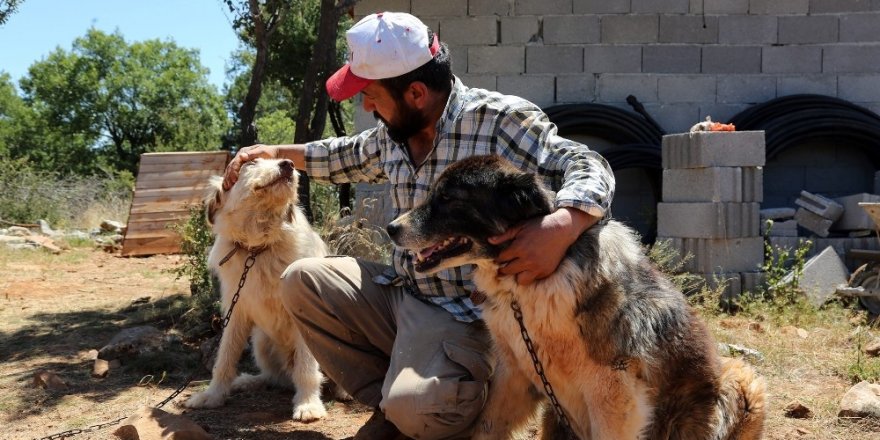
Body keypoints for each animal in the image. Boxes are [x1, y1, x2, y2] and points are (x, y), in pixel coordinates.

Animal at [186, 159, 334, 422]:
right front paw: (212, 395)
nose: (288, 163)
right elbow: (224, 359)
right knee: (275, 376)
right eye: (251, 163)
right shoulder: (235, 312)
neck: (257, 249)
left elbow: (306, 367)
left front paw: (308, 405)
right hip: (261, 341)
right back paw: (247, 381)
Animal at [384, 156, 764, 440]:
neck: (525, 286)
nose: (391, 228)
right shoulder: (513, 370)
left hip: (743, 379)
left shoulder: (614, 392)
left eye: (449, 199)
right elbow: (487, 427)